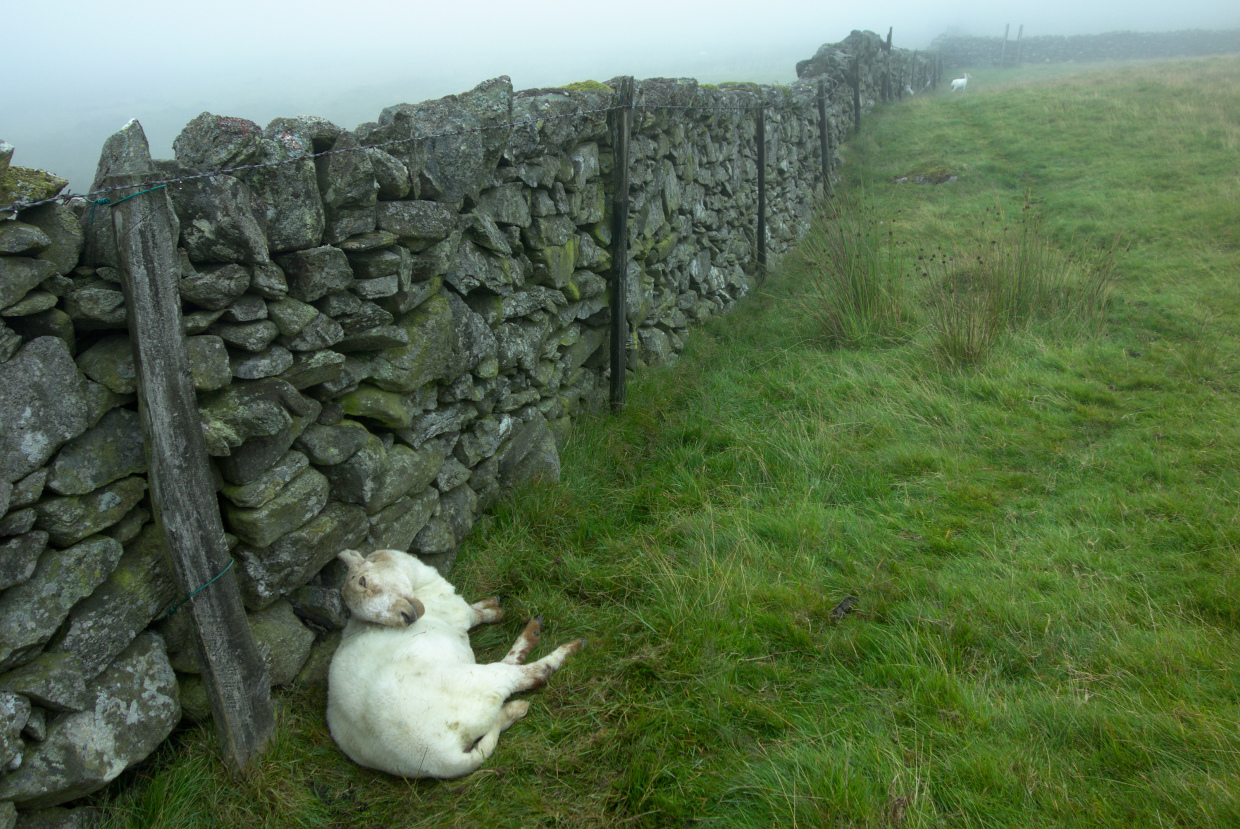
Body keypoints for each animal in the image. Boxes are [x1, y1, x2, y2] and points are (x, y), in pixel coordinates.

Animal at [327, 550, 582, 778]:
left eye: (362, 580)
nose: (407, 618)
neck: (420, 583)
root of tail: (440, 759)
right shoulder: (461, 612)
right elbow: (479, 614)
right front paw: (496, 611)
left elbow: (478, 607)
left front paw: (493, 601)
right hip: (477, 682)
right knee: (531, 674)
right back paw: (559, 643)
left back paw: (515, 706)